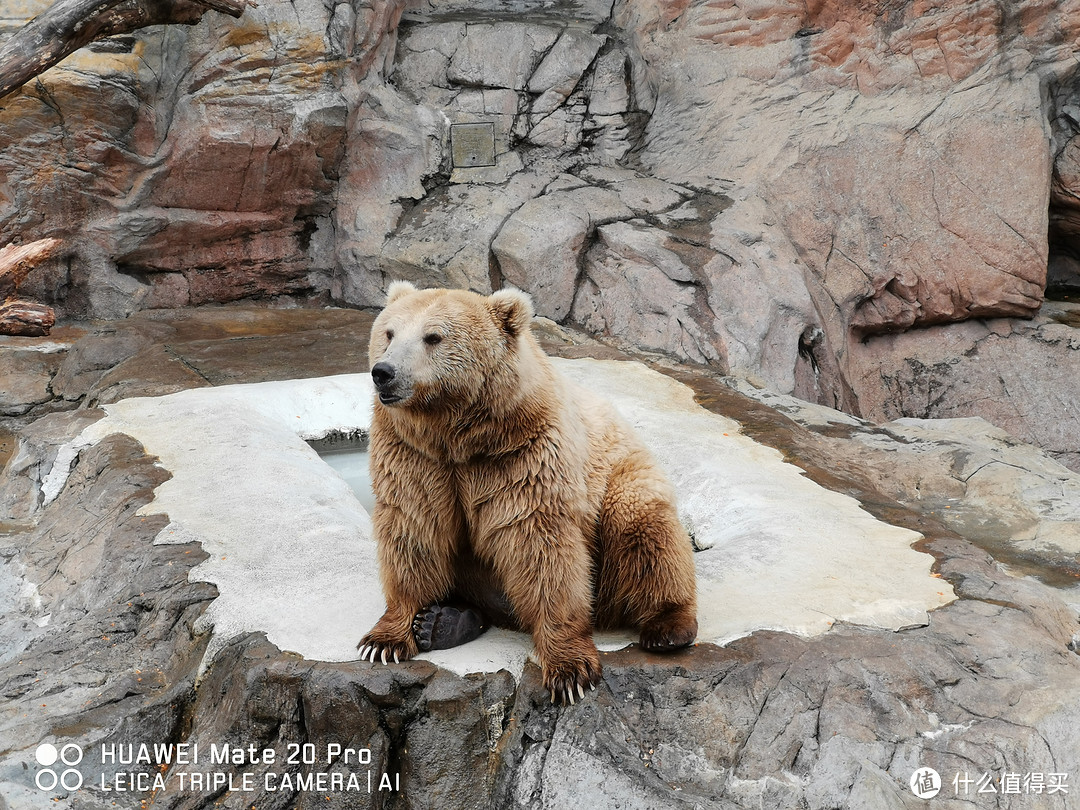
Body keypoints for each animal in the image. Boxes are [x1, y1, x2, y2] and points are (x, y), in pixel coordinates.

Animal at [360, 282, 699, 704]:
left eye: (433, 337)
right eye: (389, 333)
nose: (383, 372)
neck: (458, 435)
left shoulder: (523, 453)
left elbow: (539, 545)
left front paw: (569, 671)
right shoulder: (414, 454)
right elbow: (414, 528)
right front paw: (386, 639)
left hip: (622, 480)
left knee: (644, 526)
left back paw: (668, 627)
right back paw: (442, 622)